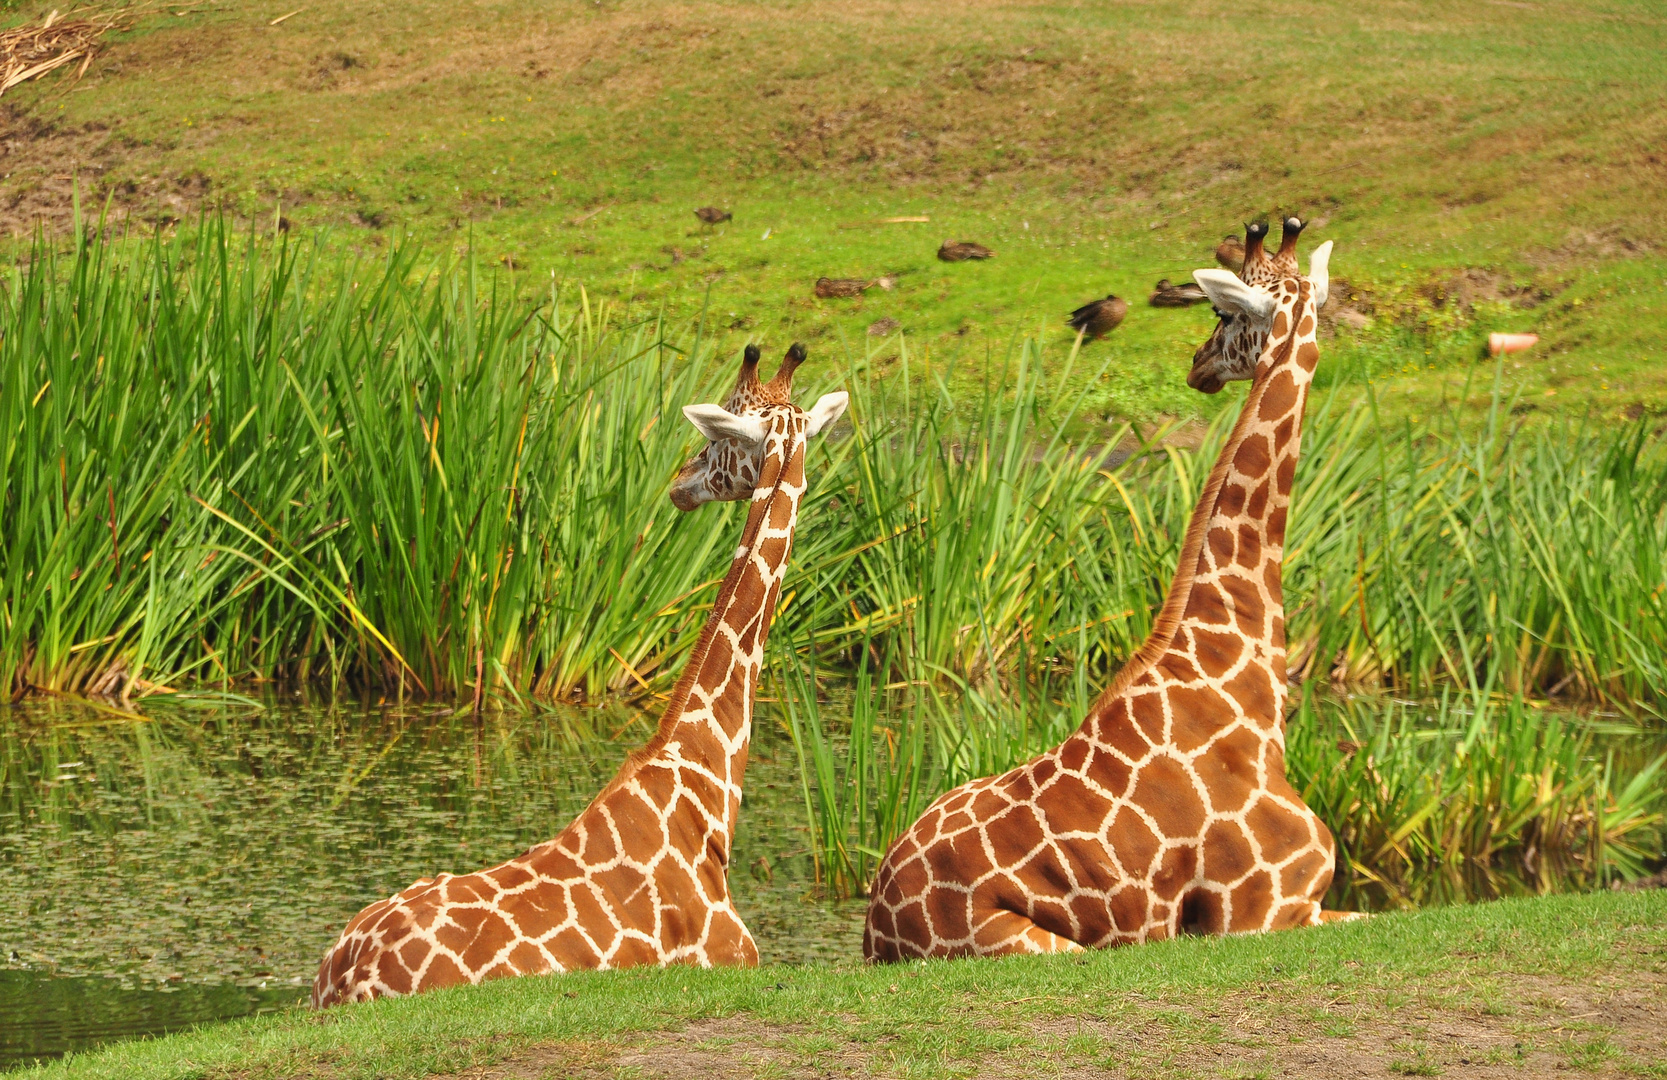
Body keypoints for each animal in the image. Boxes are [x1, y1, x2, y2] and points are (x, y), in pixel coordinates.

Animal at [860, 220, 1353, 960]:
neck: (1243, 678)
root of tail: (874, 926)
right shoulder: (1265, 912)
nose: (1198, 366)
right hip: (1038, 945)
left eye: (1222, 317)